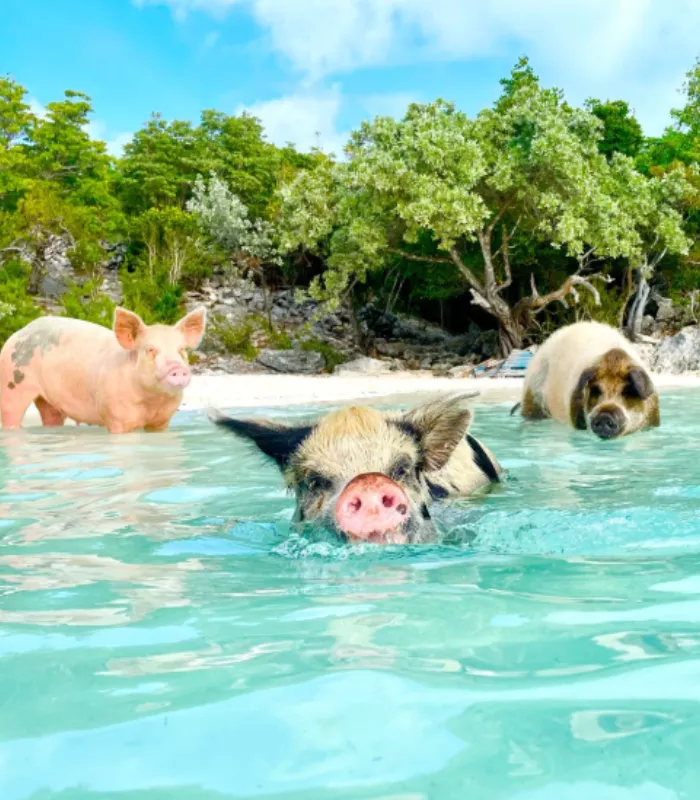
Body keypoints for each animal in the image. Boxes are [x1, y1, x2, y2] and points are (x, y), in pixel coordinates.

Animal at [0, 306, 206, 433]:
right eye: (150, 349)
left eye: (181, 350)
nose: (177, 368)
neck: (151, 401)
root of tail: (19, 332)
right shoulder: (116, 415)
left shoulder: (163, 421)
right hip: (11, 382)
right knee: (11, 414)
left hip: (49, 400)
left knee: (51, 415)